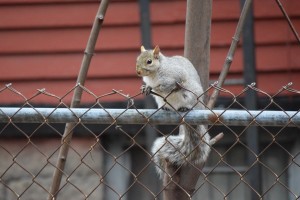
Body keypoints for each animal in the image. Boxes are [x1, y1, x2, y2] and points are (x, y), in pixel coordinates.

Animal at [136, 45, 211, 178]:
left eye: (149, 61)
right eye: (137, 59)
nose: (138, 72)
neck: (154, 74)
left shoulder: (175, 75)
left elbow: (166, 86)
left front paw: (154, 88)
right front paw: (146, 88)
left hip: (191, 95)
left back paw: (185, 108)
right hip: (162, 101)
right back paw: (166, 108)